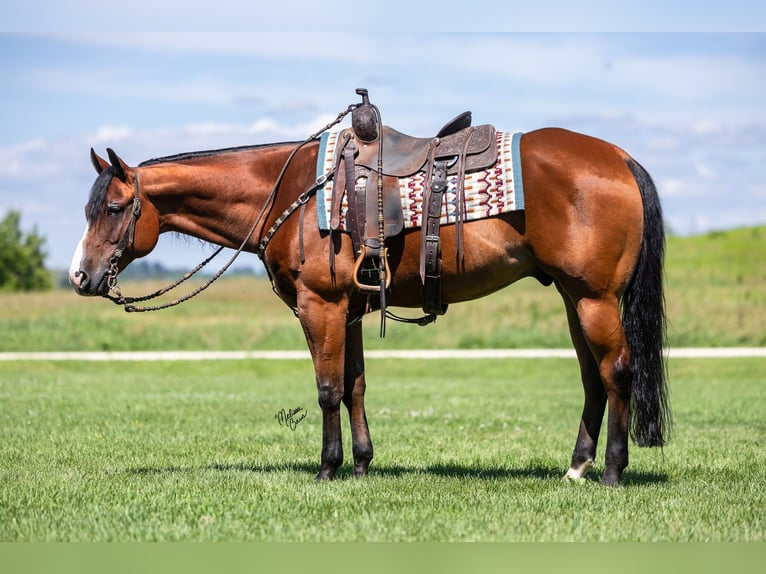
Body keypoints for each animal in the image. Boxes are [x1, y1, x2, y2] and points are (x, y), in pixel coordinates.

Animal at [69, 112, 670, 487]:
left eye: (114, 209)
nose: (80, 275)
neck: (289, 194)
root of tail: (619, 157)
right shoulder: (351, 311)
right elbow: (355, 386)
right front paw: (361, 464)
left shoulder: (321, 306)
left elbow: (328, 389)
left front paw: (327, 468)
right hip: (574, 298)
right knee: (592, 378)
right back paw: (577, 467)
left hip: (594, 299)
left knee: (617, 372)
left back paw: (612, 471)